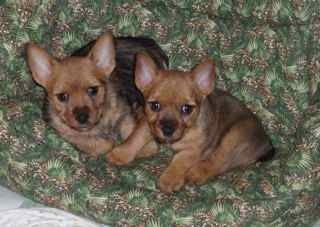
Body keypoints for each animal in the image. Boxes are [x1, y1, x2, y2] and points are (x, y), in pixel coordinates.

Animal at [109, 52, 274, 192]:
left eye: (186, 109)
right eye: (155, 106)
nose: (167, 129)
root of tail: (267, 144)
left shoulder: (192, 150)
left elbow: (179, 161)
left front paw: (170, 179)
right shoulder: (147, 124)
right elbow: (135, 138)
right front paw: (121, 153)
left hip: (234, 135)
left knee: (219, 162)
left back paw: (197, 173)